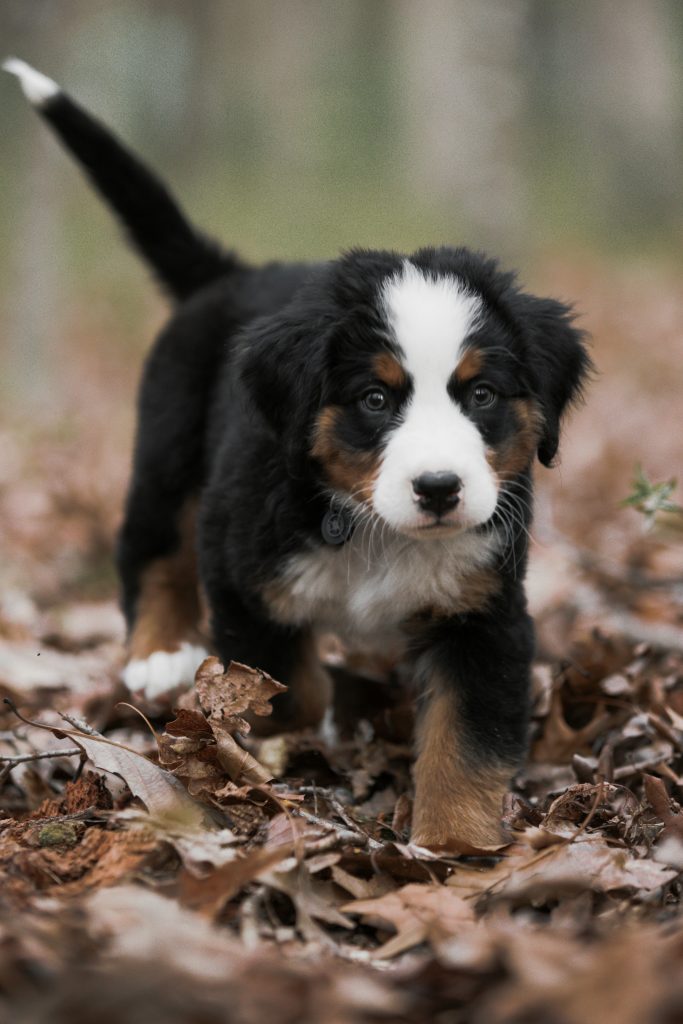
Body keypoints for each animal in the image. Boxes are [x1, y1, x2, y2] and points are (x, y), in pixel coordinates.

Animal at [6, 59, 593, 851]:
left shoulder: (485, 611)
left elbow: (465, 741)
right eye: (374, 399)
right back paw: (160, 657)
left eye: (482, 394)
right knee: (150, 554)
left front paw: (455, 849)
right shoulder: (241, 567)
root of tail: (229, 274)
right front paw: (299, 730)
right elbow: (284, 684)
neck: (376, 533)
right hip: (165, 455)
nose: (439, 488)